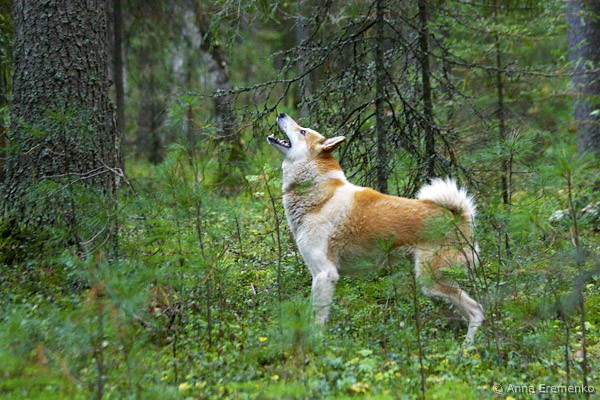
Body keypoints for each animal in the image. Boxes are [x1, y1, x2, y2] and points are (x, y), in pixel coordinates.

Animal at [267, 113, 484, 343]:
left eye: (303, 131)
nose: (281, 114)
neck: (320, 196)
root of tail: (459, 219)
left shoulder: (325, 274)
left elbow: (316, 321)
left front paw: (314, 345)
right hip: (433, 290)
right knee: (459, 317)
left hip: (432, 283)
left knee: (477, 311)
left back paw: (467, 347)